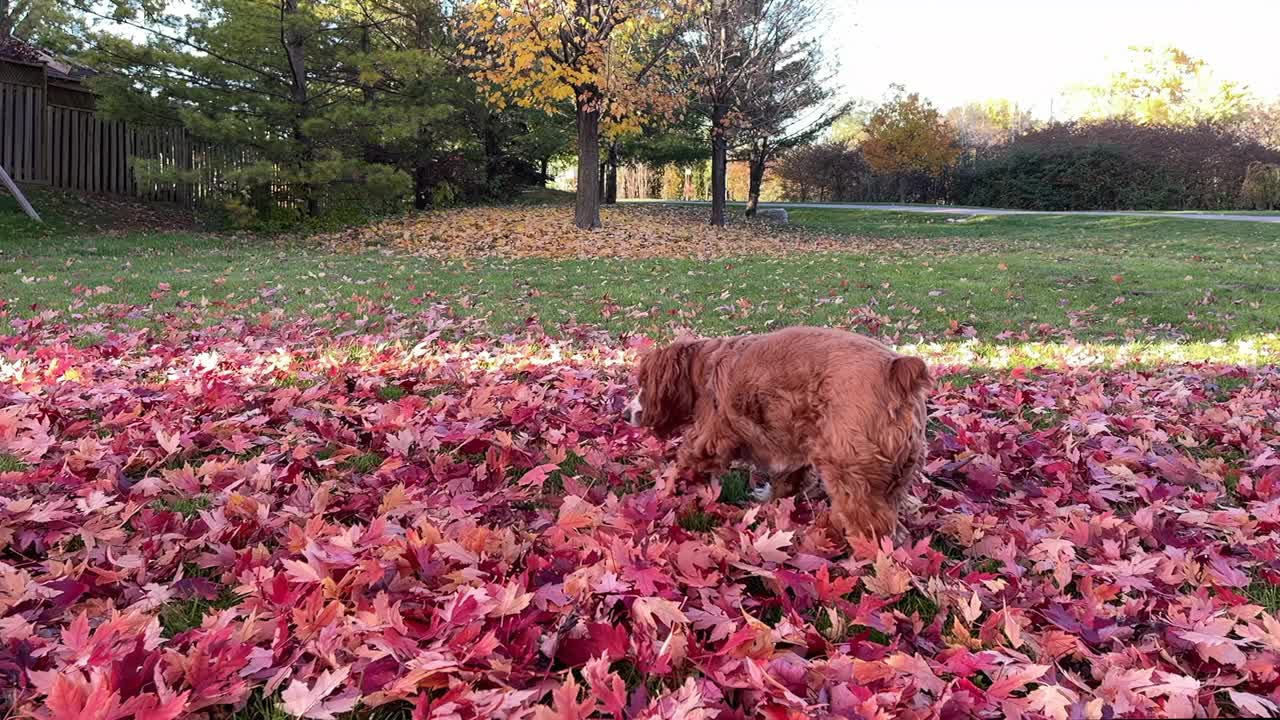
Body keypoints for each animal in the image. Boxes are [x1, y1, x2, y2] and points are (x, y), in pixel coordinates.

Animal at [627, 325, 931, 538]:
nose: (626, 413)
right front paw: (770, 503)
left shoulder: (709, 439)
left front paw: (662, 494)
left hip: (850, 472)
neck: (704, 364)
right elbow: (787, 480)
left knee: (874, 529)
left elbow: (683, 462)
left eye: (642, 383)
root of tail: (895, 372)